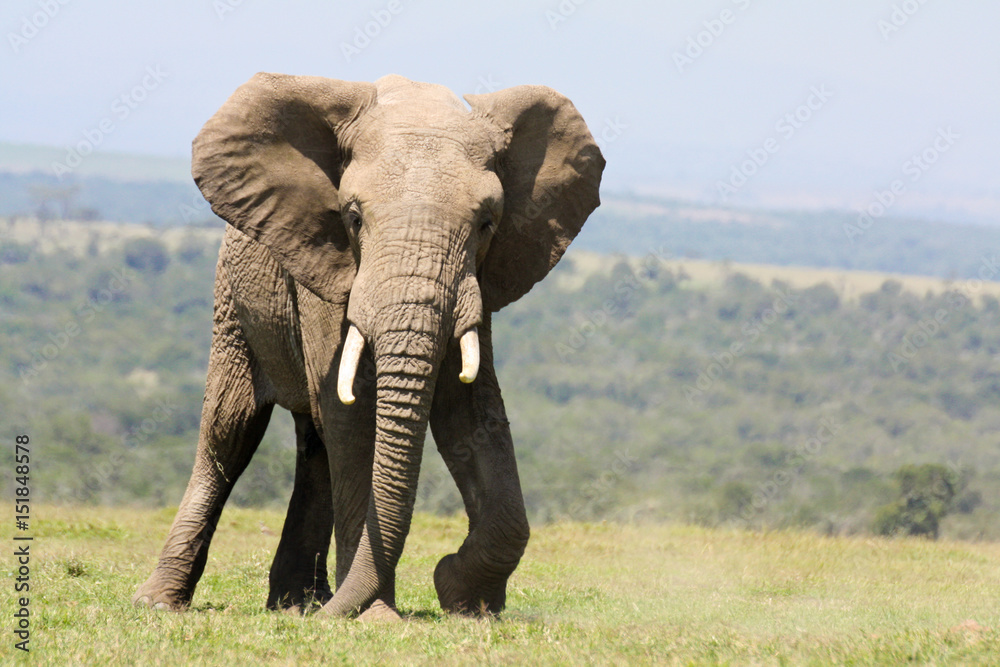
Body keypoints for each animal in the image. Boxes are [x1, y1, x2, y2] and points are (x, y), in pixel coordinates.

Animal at [133, 72, 604, 619]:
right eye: (353, 217)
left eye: (487, 223)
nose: (336, 615)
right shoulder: (326, 263)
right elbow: (353, 417)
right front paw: (376, 615)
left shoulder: (478, 281)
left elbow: (468, 411)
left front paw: (462, 596)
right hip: (233, 303)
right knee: (230, 432)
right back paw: (163, 603)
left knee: (314, 442)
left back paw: (296, 604)